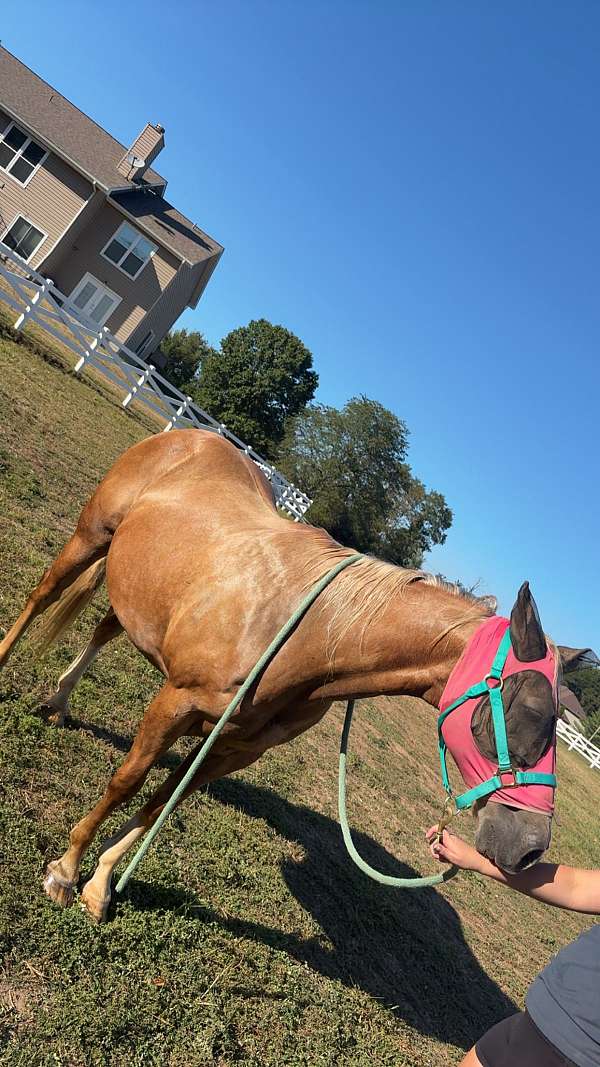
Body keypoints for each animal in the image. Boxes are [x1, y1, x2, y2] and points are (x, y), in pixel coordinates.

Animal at [0, 429, 583, 922]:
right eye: (529, 711)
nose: (528, 848)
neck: (307, 635)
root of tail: (187, 435)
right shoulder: (176, 702)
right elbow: (128, 782)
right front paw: (65, 871)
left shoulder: (233, 746)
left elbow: (163, 799)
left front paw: (100, 883)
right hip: (92, 535)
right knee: (41, 598)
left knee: (104, 628)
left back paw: (59, 703)